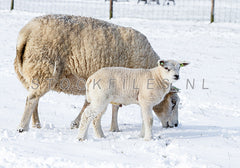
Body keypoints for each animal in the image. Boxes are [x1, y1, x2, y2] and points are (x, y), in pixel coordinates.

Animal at [13, 14, 178, 133]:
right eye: (173, 102)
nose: (175, 125)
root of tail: (26, 32)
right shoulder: (120, 82)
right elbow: (115, 106)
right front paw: (114, 128)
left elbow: (92, 103)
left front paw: (76, 123)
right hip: (44, 69)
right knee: (32, 99)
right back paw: (22, 127)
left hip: (33, 73)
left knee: (34, 99)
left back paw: (36, 124)